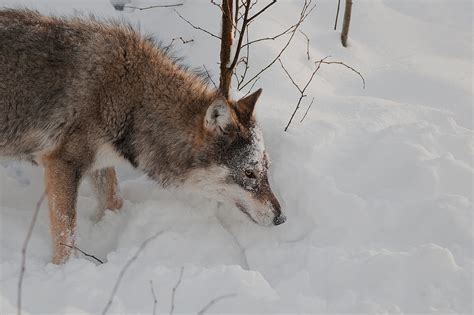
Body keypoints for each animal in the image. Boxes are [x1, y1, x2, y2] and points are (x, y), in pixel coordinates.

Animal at [0, 8, 286, 264]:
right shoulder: (62, 165)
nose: (281, 219)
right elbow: (66, 236)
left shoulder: (98, 164)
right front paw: (64, 270)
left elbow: (114, 201)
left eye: (265, 170)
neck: (133, 100)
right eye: (249, 173)